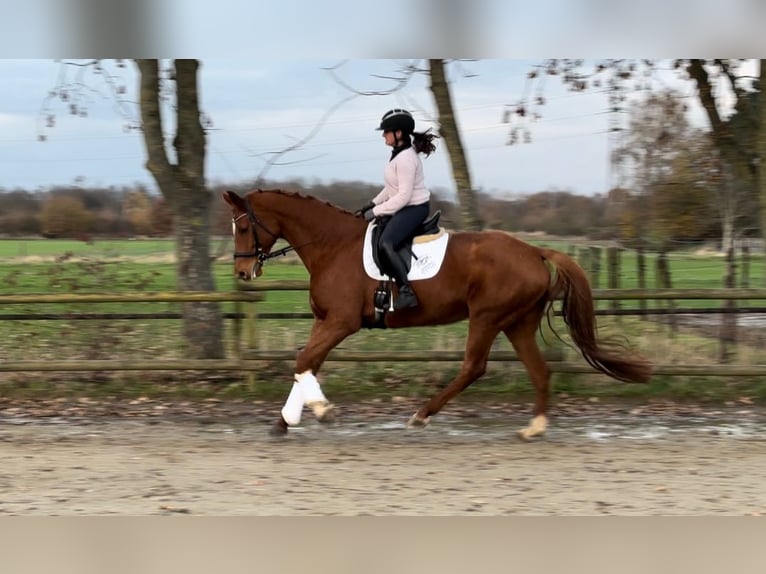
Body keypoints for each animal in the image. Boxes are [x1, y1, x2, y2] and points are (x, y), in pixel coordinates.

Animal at [222, 190, 656, 440]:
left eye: (242, 227)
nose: (242, 273)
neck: (332, 244)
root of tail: (534, 251)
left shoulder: (341, 322)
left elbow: (303, 361)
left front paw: (321, 412)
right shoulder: (325, 321)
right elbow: (306, 363)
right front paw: (284, 420)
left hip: (487, 317)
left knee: (473, 367)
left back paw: (421, 415)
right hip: (517, 323)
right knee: (539, 371)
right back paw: (534, 427)